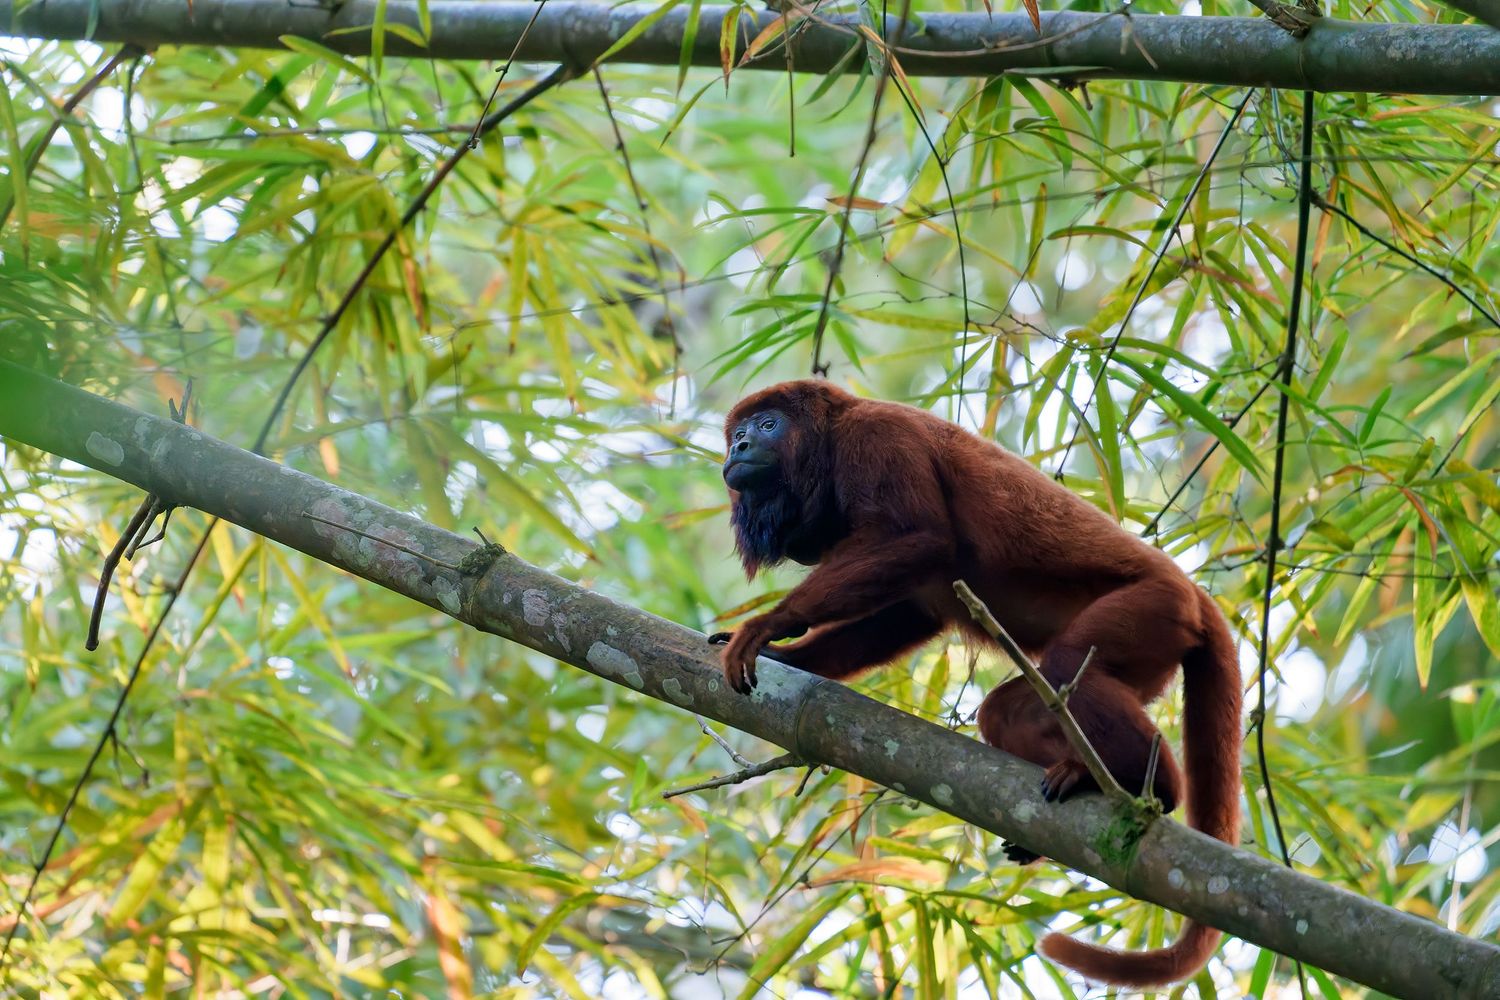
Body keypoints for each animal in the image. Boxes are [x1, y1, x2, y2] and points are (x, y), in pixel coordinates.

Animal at [711, 379, 1242, 987]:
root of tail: (1194, 592)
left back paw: (1154, 789)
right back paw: (1083, 778)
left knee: (1067, 666)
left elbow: (918, 539)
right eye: (737, 432)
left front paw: (771, 624)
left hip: (1154, 608)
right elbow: (907, 613)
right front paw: (789, 653)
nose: (740, 444)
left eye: (767, 424)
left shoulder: (880, 438)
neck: (827, 446)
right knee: (1009, 710)